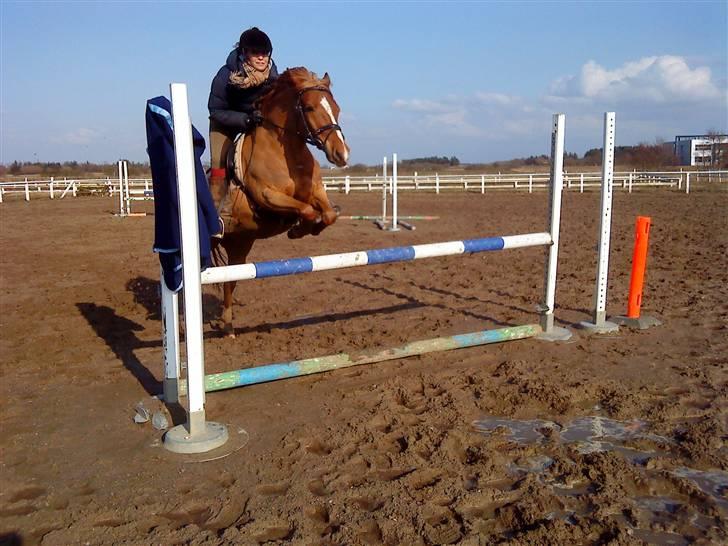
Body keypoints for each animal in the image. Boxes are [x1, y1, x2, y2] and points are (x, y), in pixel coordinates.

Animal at [213, 67, 350, 335]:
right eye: (309, 108)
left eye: (336, 108)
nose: (341, 154)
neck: (287, 152)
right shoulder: (268, 195)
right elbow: (306, 210)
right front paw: (298, 229)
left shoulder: (316, 191)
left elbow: (328, 213)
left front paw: (308, 228)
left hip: (240, 244)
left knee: (230, 280)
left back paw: (228, 324)